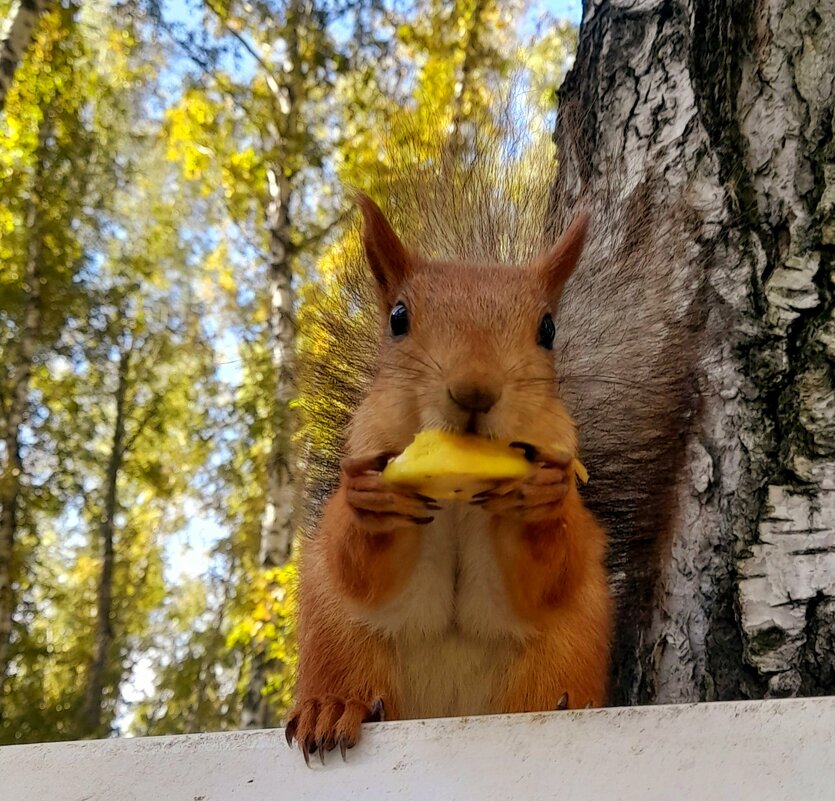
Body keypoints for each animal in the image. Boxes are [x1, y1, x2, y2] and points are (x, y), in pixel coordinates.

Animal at [288, 189, 612, 764]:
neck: (461, 498)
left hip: (563, 650)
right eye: (397, 318)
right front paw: (372, 502)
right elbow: (362, 568)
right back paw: (332, 708)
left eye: (548, 329)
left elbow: (547, 575)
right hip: (339, 639)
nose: (475, 391)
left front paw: (542, 502)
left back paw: (560, 706)